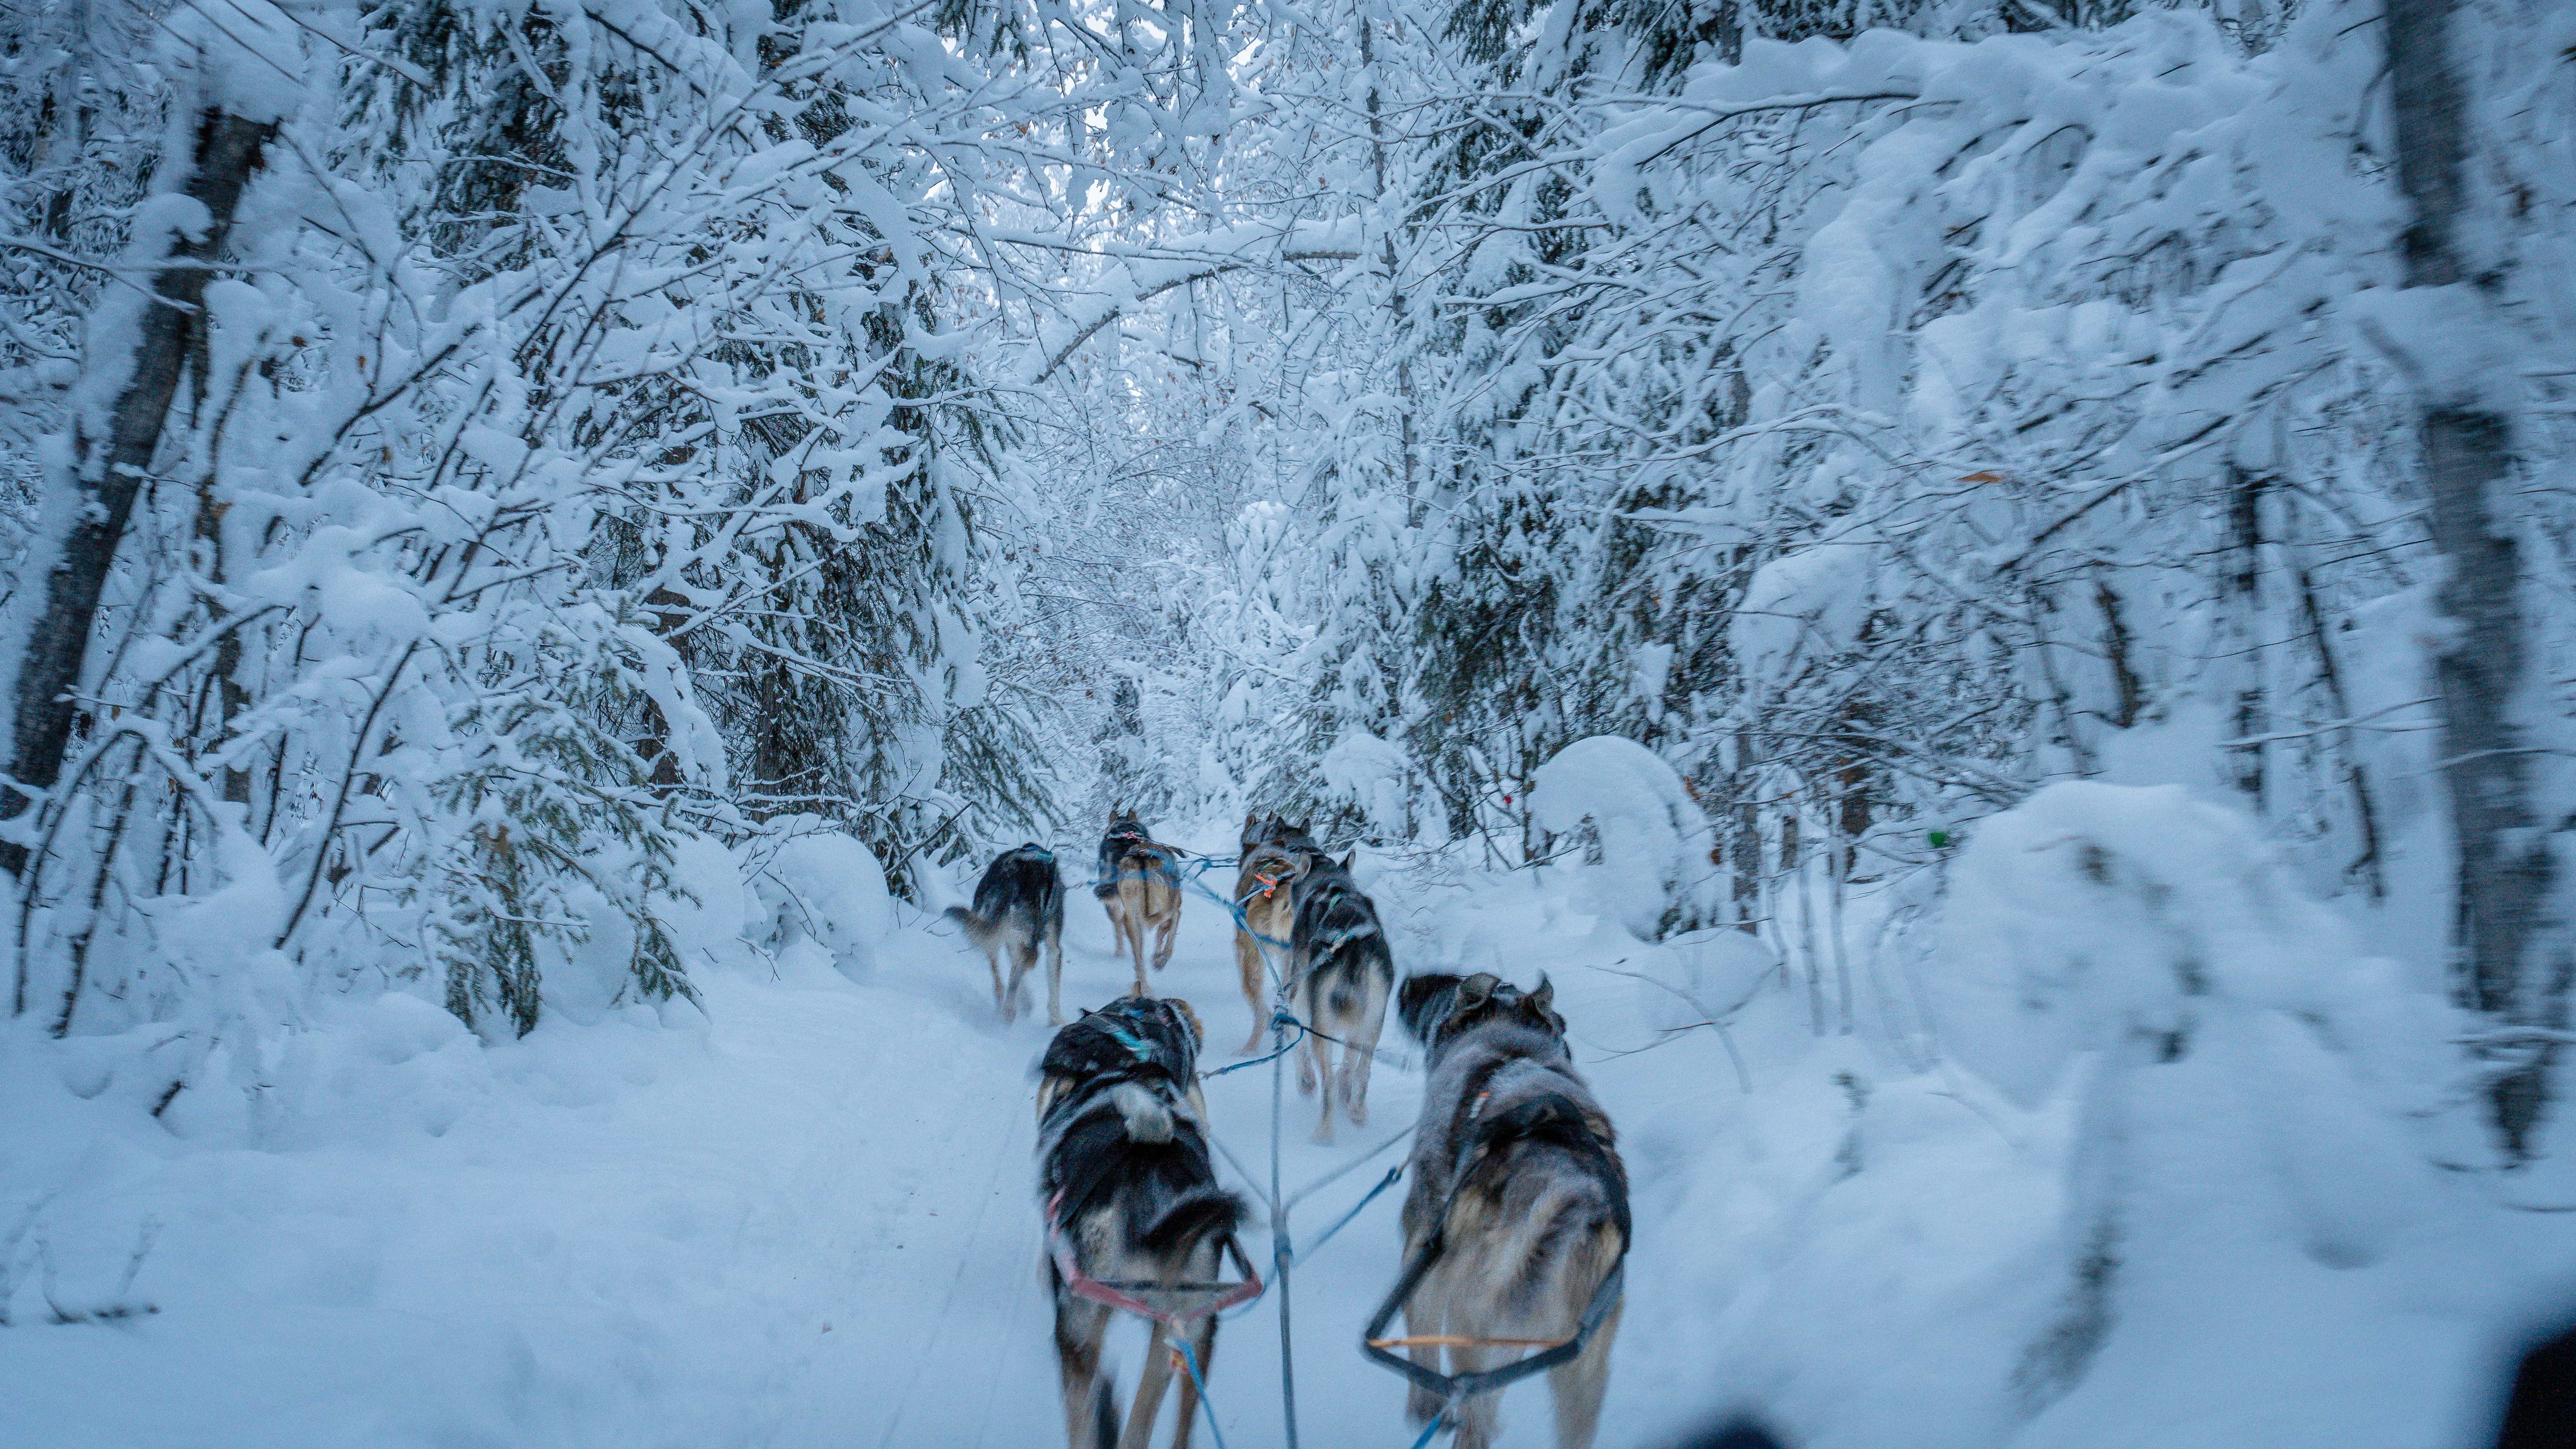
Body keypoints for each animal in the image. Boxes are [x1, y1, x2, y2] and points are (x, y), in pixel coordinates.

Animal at [947, 843, 1067, 1024]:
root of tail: (1009, 875)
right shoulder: (1052, 948)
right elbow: (1053, 987)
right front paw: (1057, 1019)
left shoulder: (1012, 939)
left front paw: (1027, 1002)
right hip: (1026, 942)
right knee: (1018, 973)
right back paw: (1009, 1012)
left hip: (989, 926)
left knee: (999, 972)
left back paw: (1004, 1005)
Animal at [1097, 808, 1183, 997]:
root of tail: (1142, 858)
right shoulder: (1176, 907)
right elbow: (1168, 934)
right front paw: (1160, 958)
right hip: (1169, 903)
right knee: (1167, 923)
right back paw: (1158, 962)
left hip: (1130, 918)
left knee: (1137, 956)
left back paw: (1144, 987)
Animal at [1289, 847, 1395, 1143]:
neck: (1330, 884)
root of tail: (1355, 947)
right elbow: (1349, 1060)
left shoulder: (1298, 992)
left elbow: (1297, 1039)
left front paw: (1304, 1081)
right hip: (1373, 1022)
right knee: (1361, 1070)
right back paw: (1356, 1108)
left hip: (1321, 1026)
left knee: (1328, 1082)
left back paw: (1324, 1131)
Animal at [1390, 972, 1626, 1449]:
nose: (1405, 987)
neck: (1508, 1044)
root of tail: (1572, 1195)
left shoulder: (1422, 1251)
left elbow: (1421, 1344)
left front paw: (1425, 1408)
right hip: (1581, 1370)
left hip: (1473, 1330)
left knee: (1474, 1416)